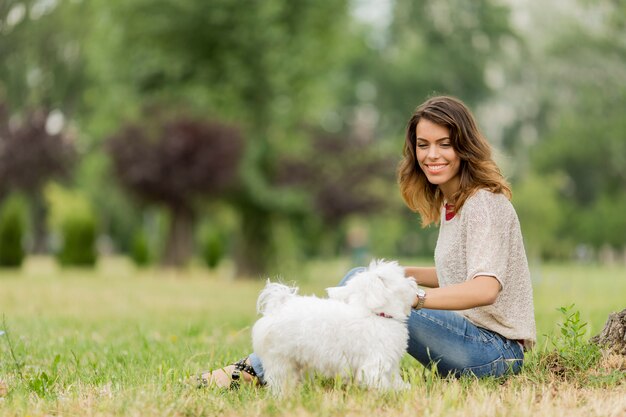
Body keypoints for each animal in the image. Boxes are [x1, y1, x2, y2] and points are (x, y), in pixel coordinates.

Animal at [251, 258, 416, 394]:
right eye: (401, 277)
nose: (412, 281)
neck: (376, 314)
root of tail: (277, 308)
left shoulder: (390, 363)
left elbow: (394, 379)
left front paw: (403, 389)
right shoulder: (374, 363)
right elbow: (379, 382)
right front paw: (388, 394)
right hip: (281, 359)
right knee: (280, 380)